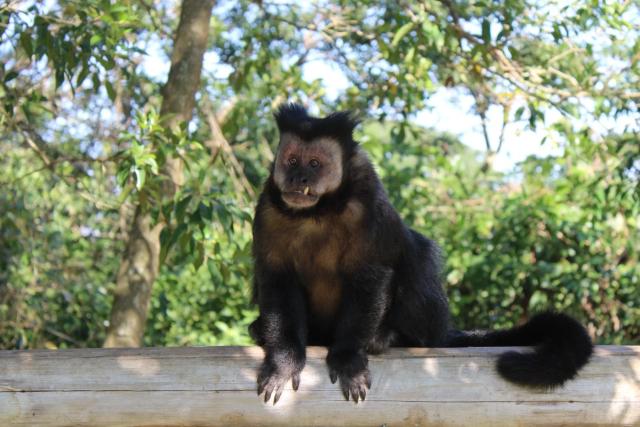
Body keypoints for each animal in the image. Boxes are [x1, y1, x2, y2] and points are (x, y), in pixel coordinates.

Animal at [249, 103, 593, 405]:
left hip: (429, 326)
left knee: (418, 255)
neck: (317, 211)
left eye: (315, 164)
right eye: (292, 160)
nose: (299, 179)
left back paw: (394, 337)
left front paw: (348, 358)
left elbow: (371, 274)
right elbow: (275, 279)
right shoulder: (268, 209)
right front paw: (283, 362)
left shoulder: (366, 203)